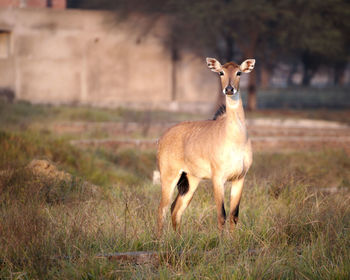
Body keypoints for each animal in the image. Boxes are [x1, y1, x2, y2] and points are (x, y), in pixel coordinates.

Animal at [157, 57, 256, 236]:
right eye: (221, 72)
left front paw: (234, 240)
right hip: (169, 176)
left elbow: (234, 215)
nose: (229, 89)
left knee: (176, 209)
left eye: (239, 72)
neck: (235, 138)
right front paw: (221, 241)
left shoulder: (240, 178)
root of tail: (162, 138)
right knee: (162, 208)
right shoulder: (218, 179)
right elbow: (221, 214)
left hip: (190, 180)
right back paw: (158, 240)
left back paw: (178, 238)